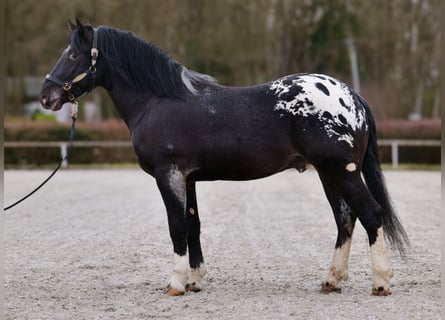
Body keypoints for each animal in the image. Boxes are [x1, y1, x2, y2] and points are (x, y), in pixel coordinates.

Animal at [40, 18, 408, 296]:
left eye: (72, 54)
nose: (47, 96)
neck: (158, 100)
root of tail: (352, 96)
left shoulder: (168, 174)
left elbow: (176, 226)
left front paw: (176, 284)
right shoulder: (188, 178)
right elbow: (192, 225)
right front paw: (194, 280)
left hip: (342, 171)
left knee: (371, 213)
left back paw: (381, 282)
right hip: (329, 173)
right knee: (346, 219)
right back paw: (332, 280)